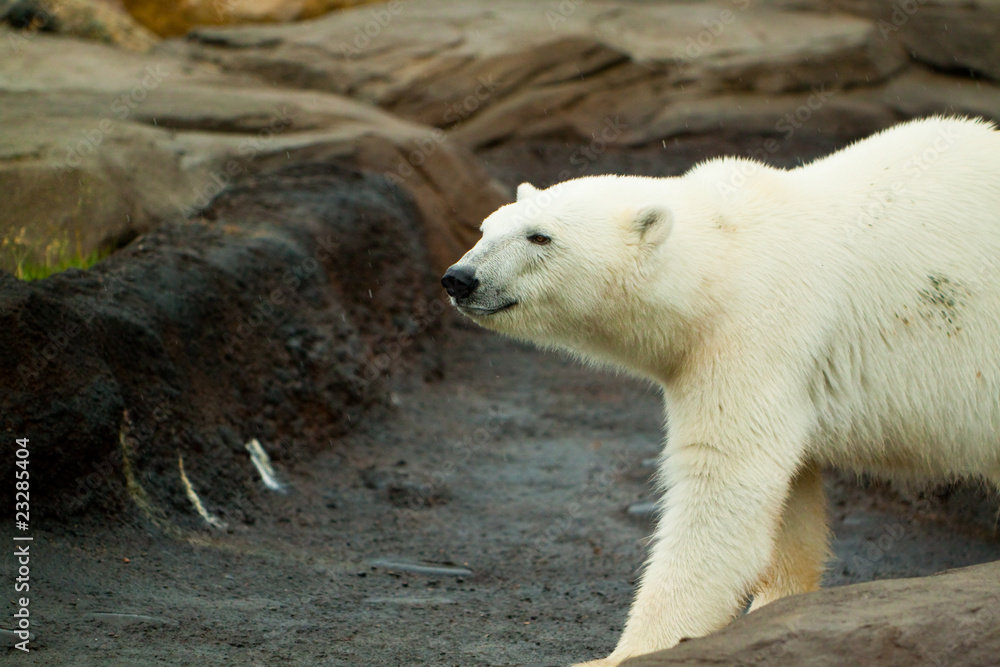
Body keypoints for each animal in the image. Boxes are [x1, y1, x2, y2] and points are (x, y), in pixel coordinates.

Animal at [441, 116, 1000, 667]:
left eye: (540, 237)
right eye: (487, 227)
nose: (459, 278)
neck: (724, 255)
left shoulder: (756, 329)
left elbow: (724, 482)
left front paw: (628, 652)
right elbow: (790, 494)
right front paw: (776, 610)